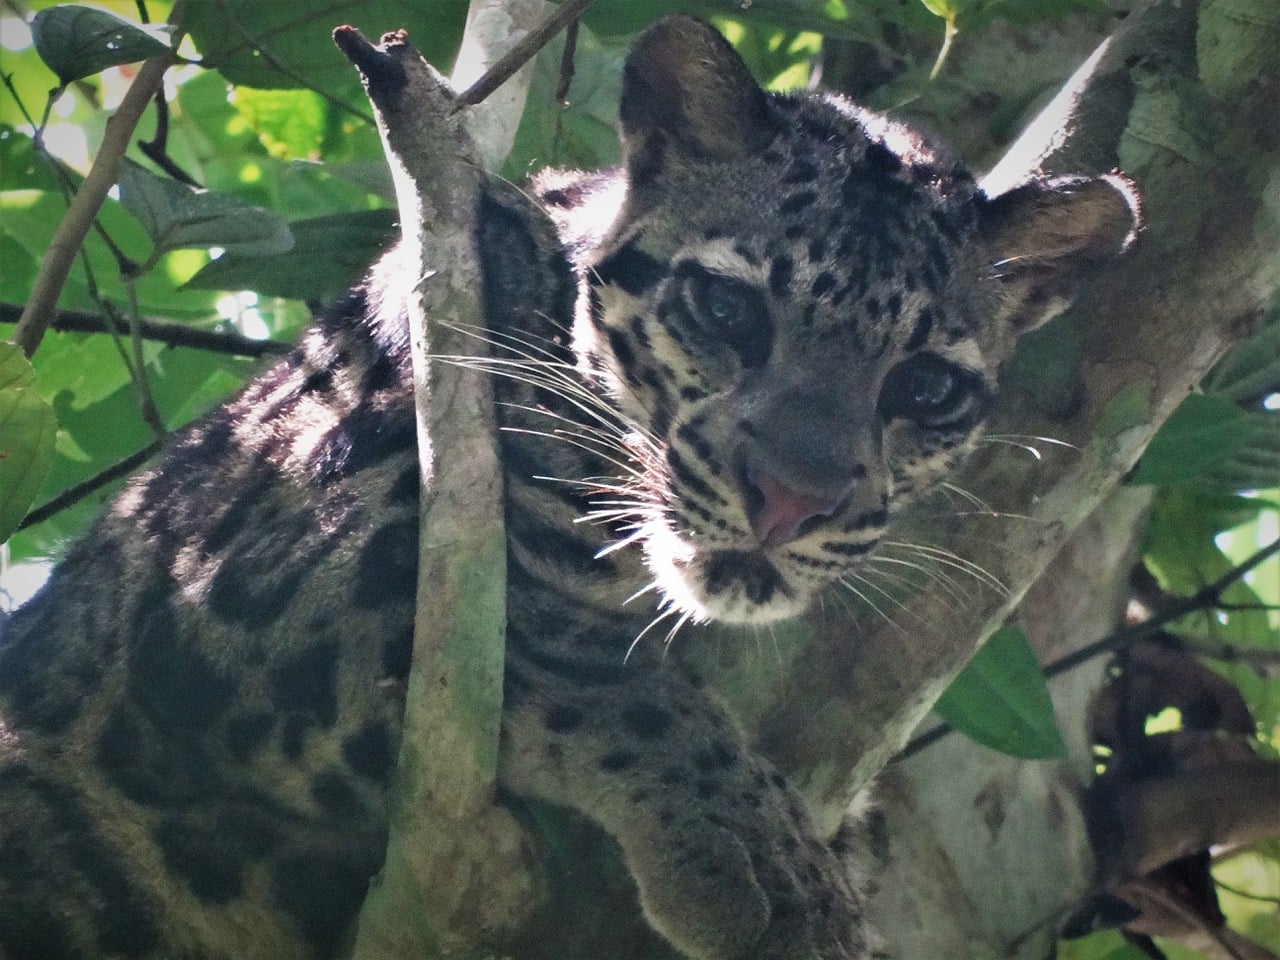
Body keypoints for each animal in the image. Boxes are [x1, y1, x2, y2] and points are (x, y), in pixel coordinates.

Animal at [0, 15, 1136, 960]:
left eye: (925, 386)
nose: (789, 503)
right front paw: (767, 865)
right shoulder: (240, 587)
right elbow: (583, 659)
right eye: (727, 311)